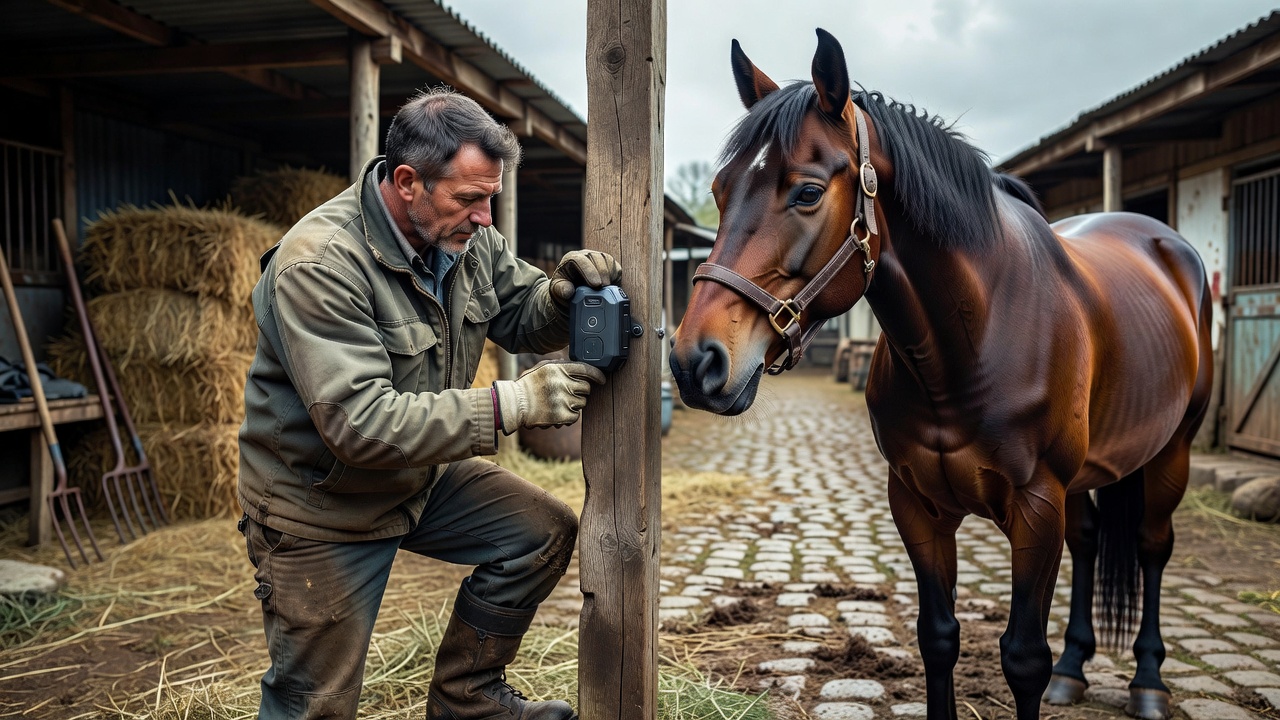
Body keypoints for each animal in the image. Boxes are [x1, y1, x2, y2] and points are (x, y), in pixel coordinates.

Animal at [669, 29, 1213, 720]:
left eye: (808, 192)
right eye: (719, 190)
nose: (695, 361)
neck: (970, 347)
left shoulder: (1037, 509)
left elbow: (1022, 657)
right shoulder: (918, 503)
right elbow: (938, 638)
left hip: (1172, 452)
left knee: (1150, 546)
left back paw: (1147, 682)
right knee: (1091, 543)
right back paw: (1075, 669)